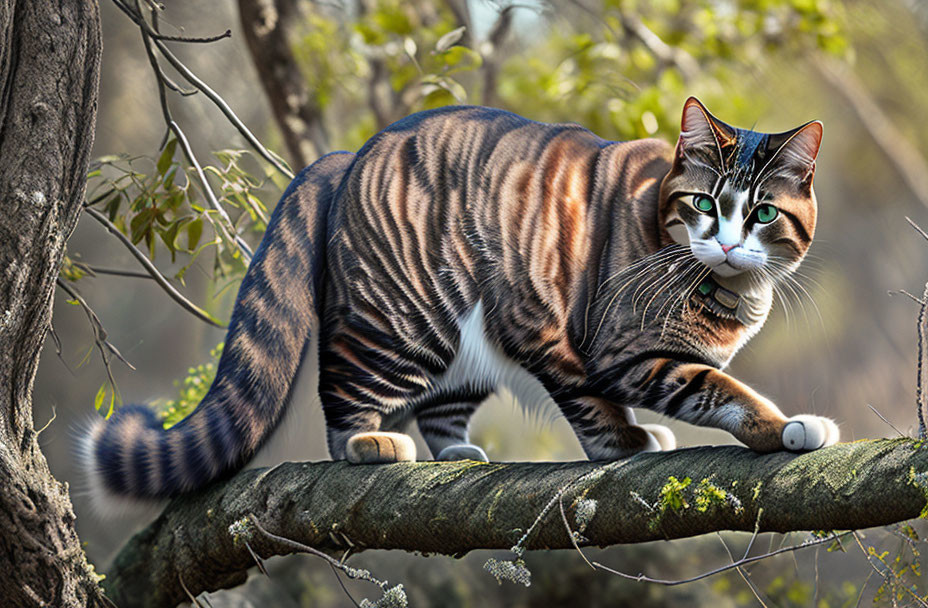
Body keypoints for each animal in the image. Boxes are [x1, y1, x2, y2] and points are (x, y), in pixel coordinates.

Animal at [80, 97, 836, 502]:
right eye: (704, 205)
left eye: (763, 215)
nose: (728, 245)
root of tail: (351, 155)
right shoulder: (615, 352)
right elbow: (704, 392)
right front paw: (782, 428)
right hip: (403, 325)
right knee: (342, 395)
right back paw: (368, 441)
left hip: (467, 342)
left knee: (441, 406)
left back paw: (458, 452)